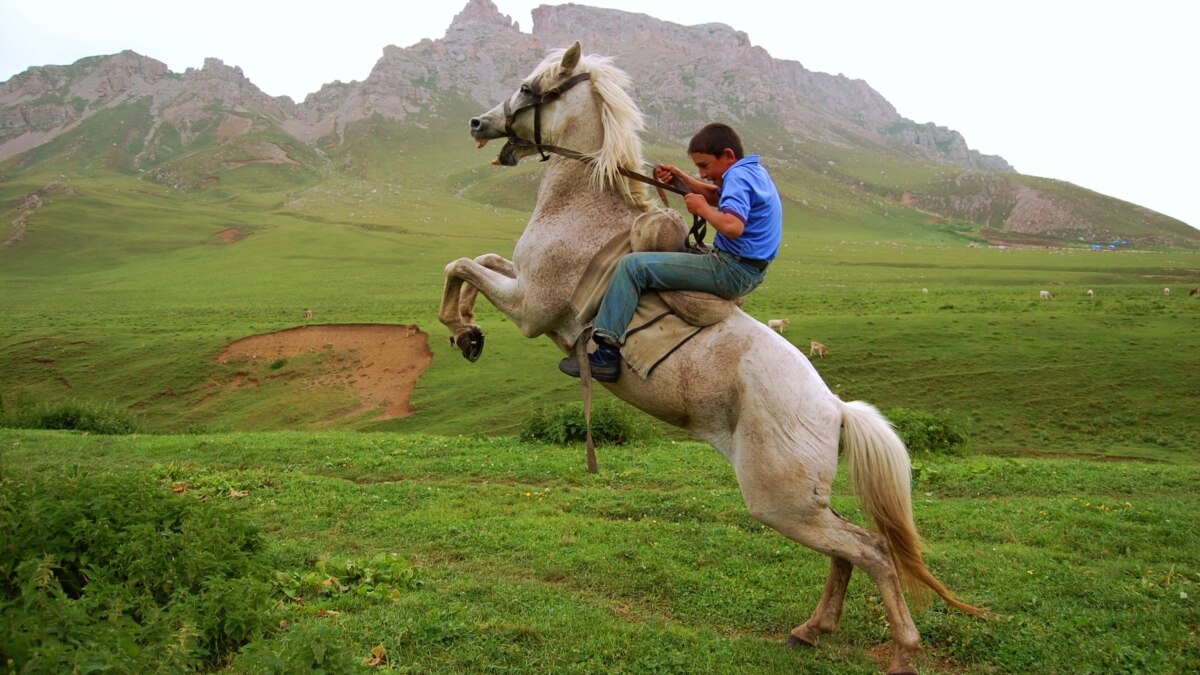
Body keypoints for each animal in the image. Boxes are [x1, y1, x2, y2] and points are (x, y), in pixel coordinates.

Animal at [441, 43, 984, 672]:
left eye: (531, 87)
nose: (478, 124)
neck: (581, 208)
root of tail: (834, 408)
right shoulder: (523, 287)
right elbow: (476, 261)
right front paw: (468, 332)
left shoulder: (533, 309)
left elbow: (460, 264)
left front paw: (461, 327)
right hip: (804, 505)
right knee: (849, 550)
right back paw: (812, 629)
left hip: (782, 503)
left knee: (869, 549)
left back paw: (902, 651)